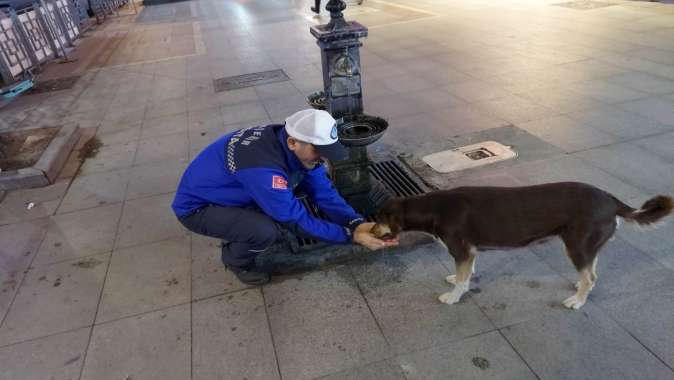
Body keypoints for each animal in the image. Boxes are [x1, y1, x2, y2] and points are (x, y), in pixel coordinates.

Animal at [370, 181, 668, 308]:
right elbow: (466, 273)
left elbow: (463, 279)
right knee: (591, 272)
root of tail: (611, 199)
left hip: (576, 245)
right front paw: (456, 280)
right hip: (586, 245)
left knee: (591, 276)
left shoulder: (461, 250)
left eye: (379, 219)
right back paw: (580, 287)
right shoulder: (469, 252)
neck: (434, 208)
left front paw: (454, 296)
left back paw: (577, 301)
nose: (369, 231)